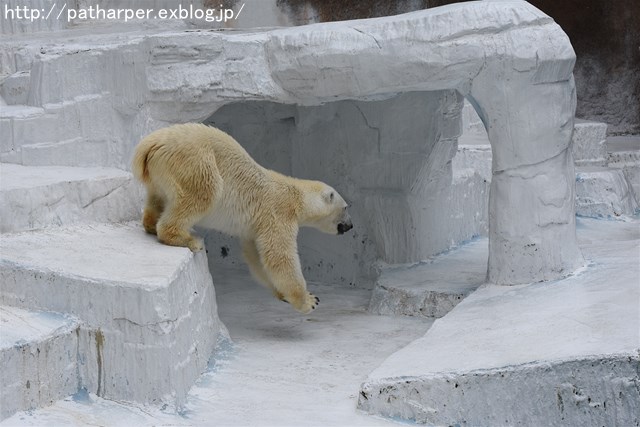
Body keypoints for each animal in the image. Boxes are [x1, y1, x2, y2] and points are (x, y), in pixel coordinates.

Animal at [132, 123, 352, 314]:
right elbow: (279, 256)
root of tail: (150, 143)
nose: (350, 225)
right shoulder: (277, 213)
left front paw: (283, 295)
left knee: (157, 198)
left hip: (160, 175)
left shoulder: (256, 227)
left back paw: (151, 223)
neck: (296, 196)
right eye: (346, 207)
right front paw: (308, 301)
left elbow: (256, 256)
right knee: (204, 192)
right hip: (195, 161)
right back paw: (188, 239)